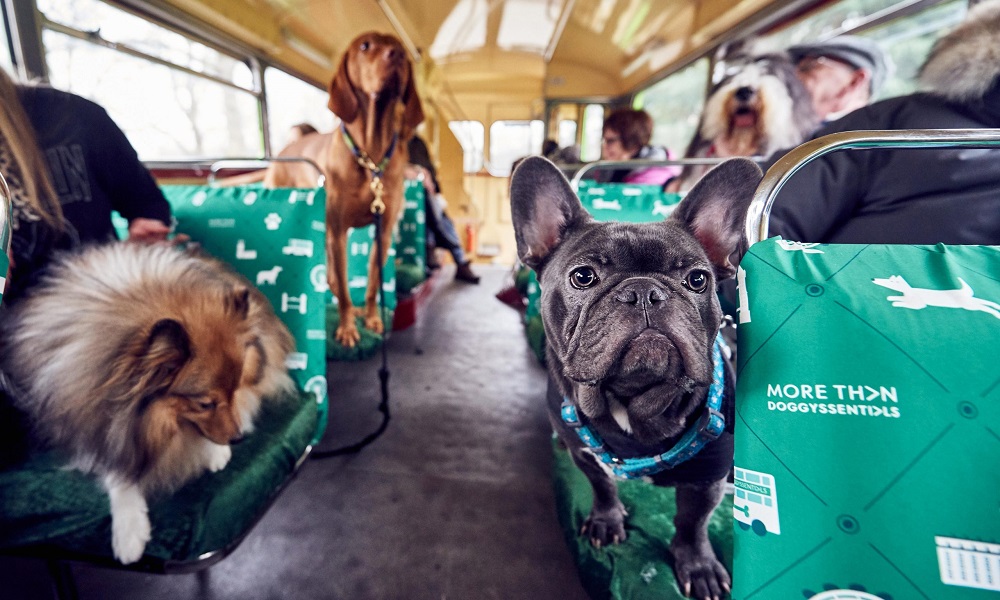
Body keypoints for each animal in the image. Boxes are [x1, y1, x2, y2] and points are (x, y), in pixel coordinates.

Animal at [0, 243, 294, 564]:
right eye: (205, 403)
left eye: (235, 387)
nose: (239, 438)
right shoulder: (92, 422)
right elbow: (118, 463)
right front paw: (129, 531)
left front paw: (216, 450)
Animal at [266, 32, 422, 350]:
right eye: (365, 46)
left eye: (399, 47)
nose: (397, 56)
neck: (371, 155)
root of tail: (285, 151)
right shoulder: (338, 231)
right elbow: (346, 290)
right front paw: (348, 329)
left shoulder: (382, 231)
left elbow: (373, 283)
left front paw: (372, 318)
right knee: (334, 280)